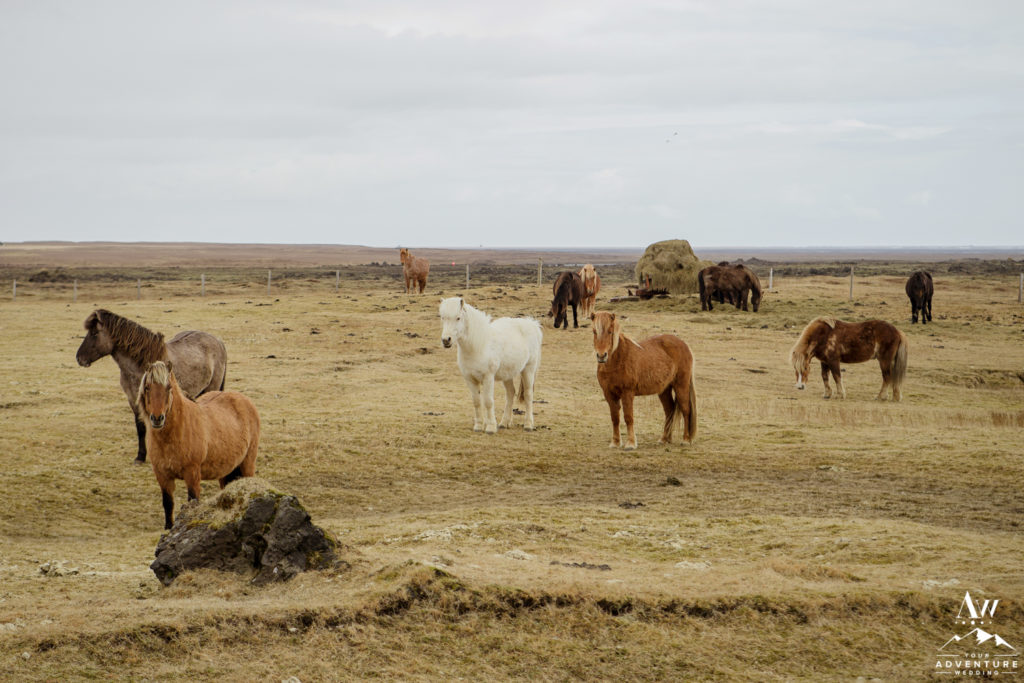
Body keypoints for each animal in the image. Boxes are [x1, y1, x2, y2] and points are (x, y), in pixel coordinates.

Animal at [76, 309, 228, 464]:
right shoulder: (134, 400)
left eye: (95, 333)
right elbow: (141, 427)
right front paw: (140, 456)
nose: (79, 358)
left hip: (211, 389)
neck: (140, 365)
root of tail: (218, 341)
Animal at [136, 360, 260, 532]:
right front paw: (168, 528)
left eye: (169, 388)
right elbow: (168, 504)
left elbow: (192, 502)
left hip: (247, 464)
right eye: (148, 387)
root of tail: (245, 400)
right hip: (226, 472)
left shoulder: (192, 473)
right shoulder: (162, 475)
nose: (157, 418)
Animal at [438, 294, 544, 432]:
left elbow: (488, 401)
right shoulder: (470, 379)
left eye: (458, 318)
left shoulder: (488, 377)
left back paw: (528, 424)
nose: (446, 340)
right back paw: (504, 423)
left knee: (528, 394)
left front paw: (490, 427)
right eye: (443, 317)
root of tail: (532, 324)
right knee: (510, 393)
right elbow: (476, 401)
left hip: (528, 370)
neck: (478, 346)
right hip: (508, 374)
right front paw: (478, 426)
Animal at [589, 309, 700, 448]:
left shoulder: (627, 393)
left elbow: (628, 417)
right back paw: (664, 439)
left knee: (686, 410)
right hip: (664, 390)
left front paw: (630, 444)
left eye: (610, 331)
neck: (618, 360)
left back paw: (685, 440)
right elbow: (615, 418)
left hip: (681, 386)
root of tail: (684, 344)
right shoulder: (608, 394)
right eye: (594, 331)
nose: (601, 356)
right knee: (669, 411)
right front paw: (615, 442)